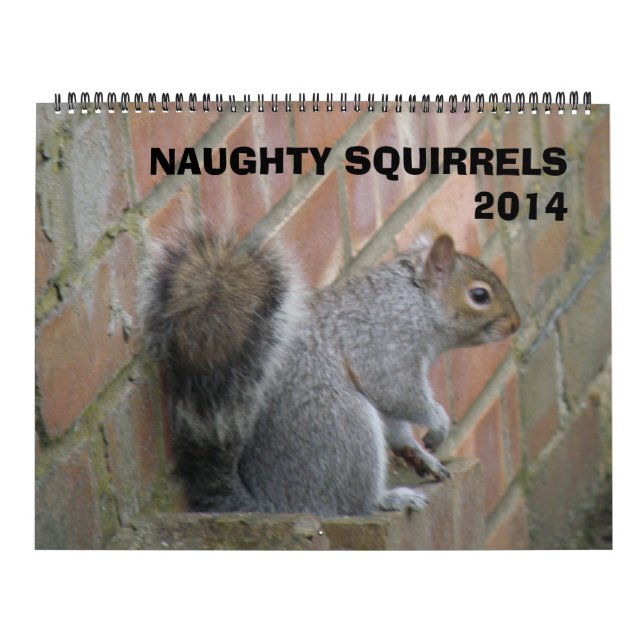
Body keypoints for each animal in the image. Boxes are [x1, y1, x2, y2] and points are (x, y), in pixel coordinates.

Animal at [140, 227, 520, 517]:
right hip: (343, 425)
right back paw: (387, 500)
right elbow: (398, 392)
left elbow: (396, 422)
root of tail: (276, 504)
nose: (515, 324)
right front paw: (438, 423)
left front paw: (419, 453)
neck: (416, 300)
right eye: (479, 295)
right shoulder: (385, 344)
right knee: (347, 505)